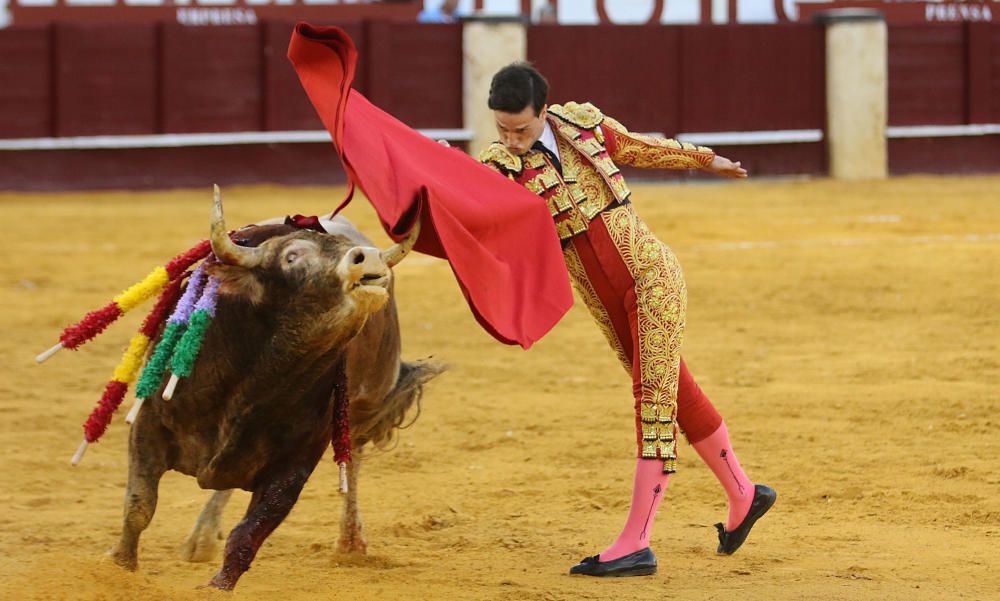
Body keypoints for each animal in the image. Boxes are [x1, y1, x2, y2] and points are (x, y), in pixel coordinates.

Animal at [109, 190, 438, 588]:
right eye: (292, 256)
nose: (368, 258)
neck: (258, 377)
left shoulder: (295, 462)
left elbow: (249, 532)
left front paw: (218, 587)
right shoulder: (149, 424)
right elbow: (138, 506)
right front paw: (119, 567)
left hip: (368, 400)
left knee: (354, 454)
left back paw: (350, 543)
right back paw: (201, 538)